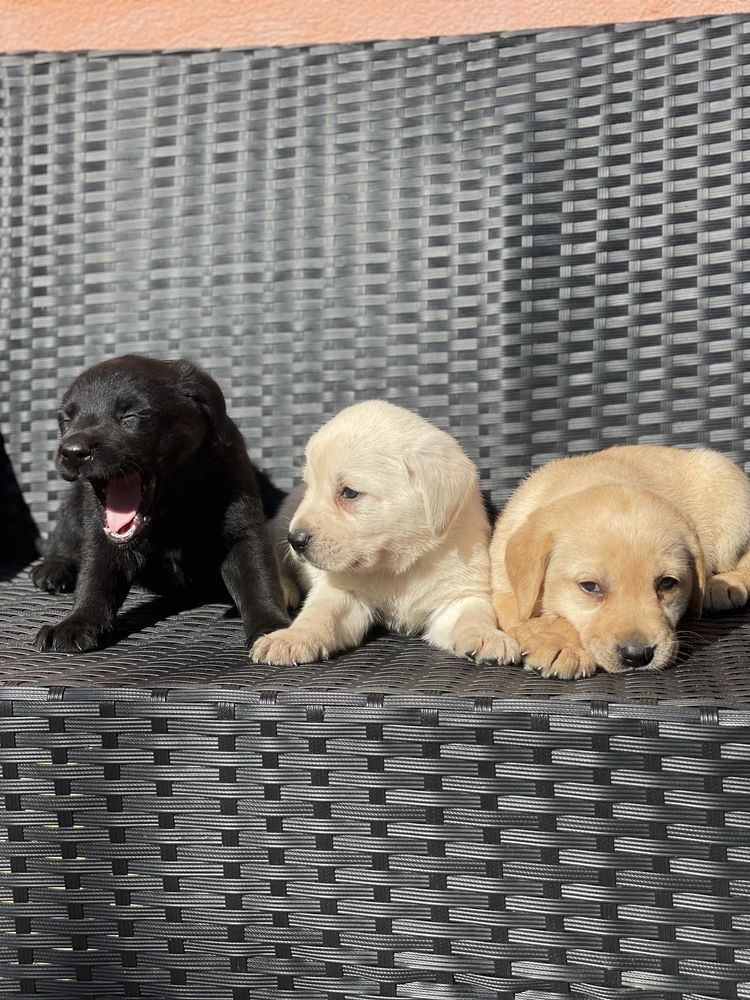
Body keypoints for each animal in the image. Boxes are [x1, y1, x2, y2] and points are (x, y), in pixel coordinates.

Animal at [32, 356, 290, 652]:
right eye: (66, 420)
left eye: (130, 417)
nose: (72, 451)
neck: (173, 508)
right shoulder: (101, 535)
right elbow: (95, 578)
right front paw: (77, 623)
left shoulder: (242, 529)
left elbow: (258, 578)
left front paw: (272, 628)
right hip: (75, 501)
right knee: (64, 534)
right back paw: (53, 568)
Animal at [250, 398, 520, 664]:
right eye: (310, 487)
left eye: (349, 492)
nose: (296, 540)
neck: (398, 565)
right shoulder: (341, 592)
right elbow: (318, 616)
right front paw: (290, 638)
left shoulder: (461, 594)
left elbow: (474, 615)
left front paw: (487, 636)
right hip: (278, 528)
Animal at [490, 446, 750, 680]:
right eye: (590, 586)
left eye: (667, 583)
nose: (638, 656)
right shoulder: (502, 587)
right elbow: (516, 611)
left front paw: (560, 644)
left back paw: (724, 585)